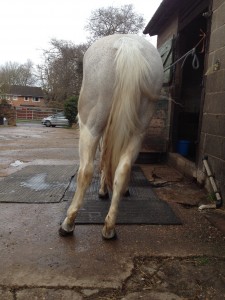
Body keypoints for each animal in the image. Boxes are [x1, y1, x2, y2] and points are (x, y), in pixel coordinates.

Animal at [59, 33, 163, 239]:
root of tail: (127, 43)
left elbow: (102, 161)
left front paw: (102, 191)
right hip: (138, 131)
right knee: (123, 169)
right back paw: (109, 227)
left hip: (90, 127)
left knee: (86, 170)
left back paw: (68, 223)